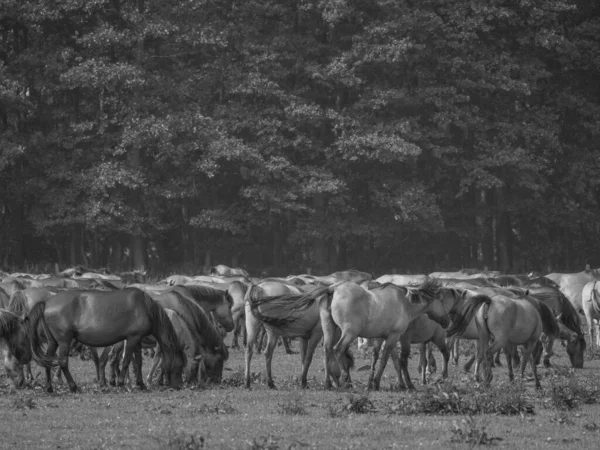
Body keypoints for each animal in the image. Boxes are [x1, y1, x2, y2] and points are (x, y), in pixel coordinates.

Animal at [26, 288, 185, 390]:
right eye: (180, 366)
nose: (178, 386)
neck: (145, 306)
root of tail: (46, 303)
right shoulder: (132, 339)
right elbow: (126, 361)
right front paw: (121, 384)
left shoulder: (138, 340)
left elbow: (138, 362)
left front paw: (140, 384)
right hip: (64, 341)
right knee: (63, 362)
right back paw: (73, 387)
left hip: (53, 342)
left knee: (48, 360)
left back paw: (49, 388)